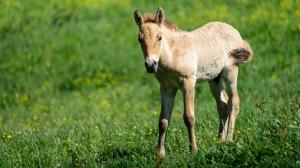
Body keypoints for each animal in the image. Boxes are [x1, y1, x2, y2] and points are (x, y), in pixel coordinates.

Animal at [132, 6, 252, 158]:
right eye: (139, 39)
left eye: (159, 37)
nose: (150, 65)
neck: (173, 54)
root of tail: (234, 31)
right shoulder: (166, 88)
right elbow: (163, 120)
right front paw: (160, 154)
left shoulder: (188, 83)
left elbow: (189, 117)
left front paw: (193, 150)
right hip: (214, 78)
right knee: (222, 104)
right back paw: (220, 141)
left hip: (231, 71)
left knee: (234, 101)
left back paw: (229, 140)